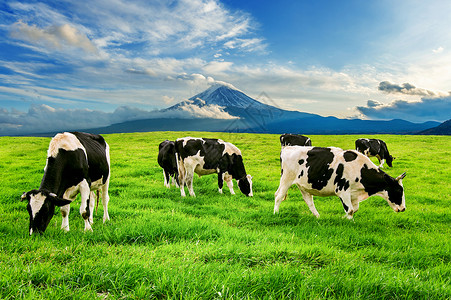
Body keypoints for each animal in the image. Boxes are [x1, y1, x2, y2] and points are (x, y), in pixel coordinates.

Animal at [274, 146, 408, 219]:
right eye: (398, 190)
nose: (403, 208)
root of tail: (288, 148)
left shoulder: (354, 194)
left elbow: (355, 209)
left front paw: (343, 218)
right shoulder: (342, 191)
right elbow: (350, 210)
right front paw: (349, 221)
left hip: (304, 185)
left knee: (309, 201)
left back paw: (318, 217)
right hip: (286, 178)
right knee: (278, 196)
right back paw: (276, 213)